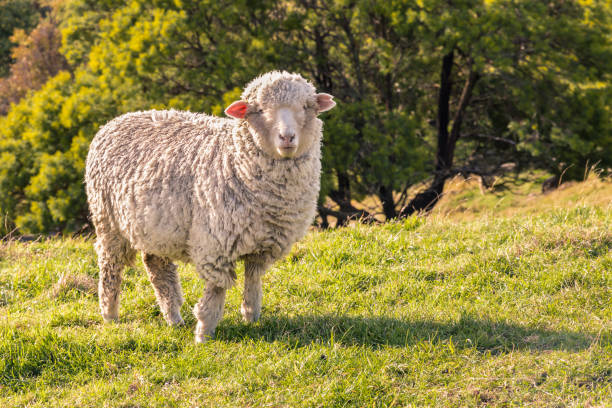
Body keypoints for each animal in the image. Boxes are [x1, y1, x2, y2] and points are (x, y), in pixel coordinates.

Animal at [85, 70, 334, 342]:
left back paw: (173, 317)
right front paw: (204, 333)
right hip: (107, 220)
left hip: (155, 226)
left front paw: (251, 317)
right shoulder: (216, 243)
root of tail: (114, 121)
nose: (287, 137)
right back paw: (110, 314)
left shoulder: (264, 243)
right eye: (258, 110)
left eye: (306, 107)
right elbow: (216, 290)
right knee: (110, 266)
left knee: (157, 267)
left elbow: (253, 280)